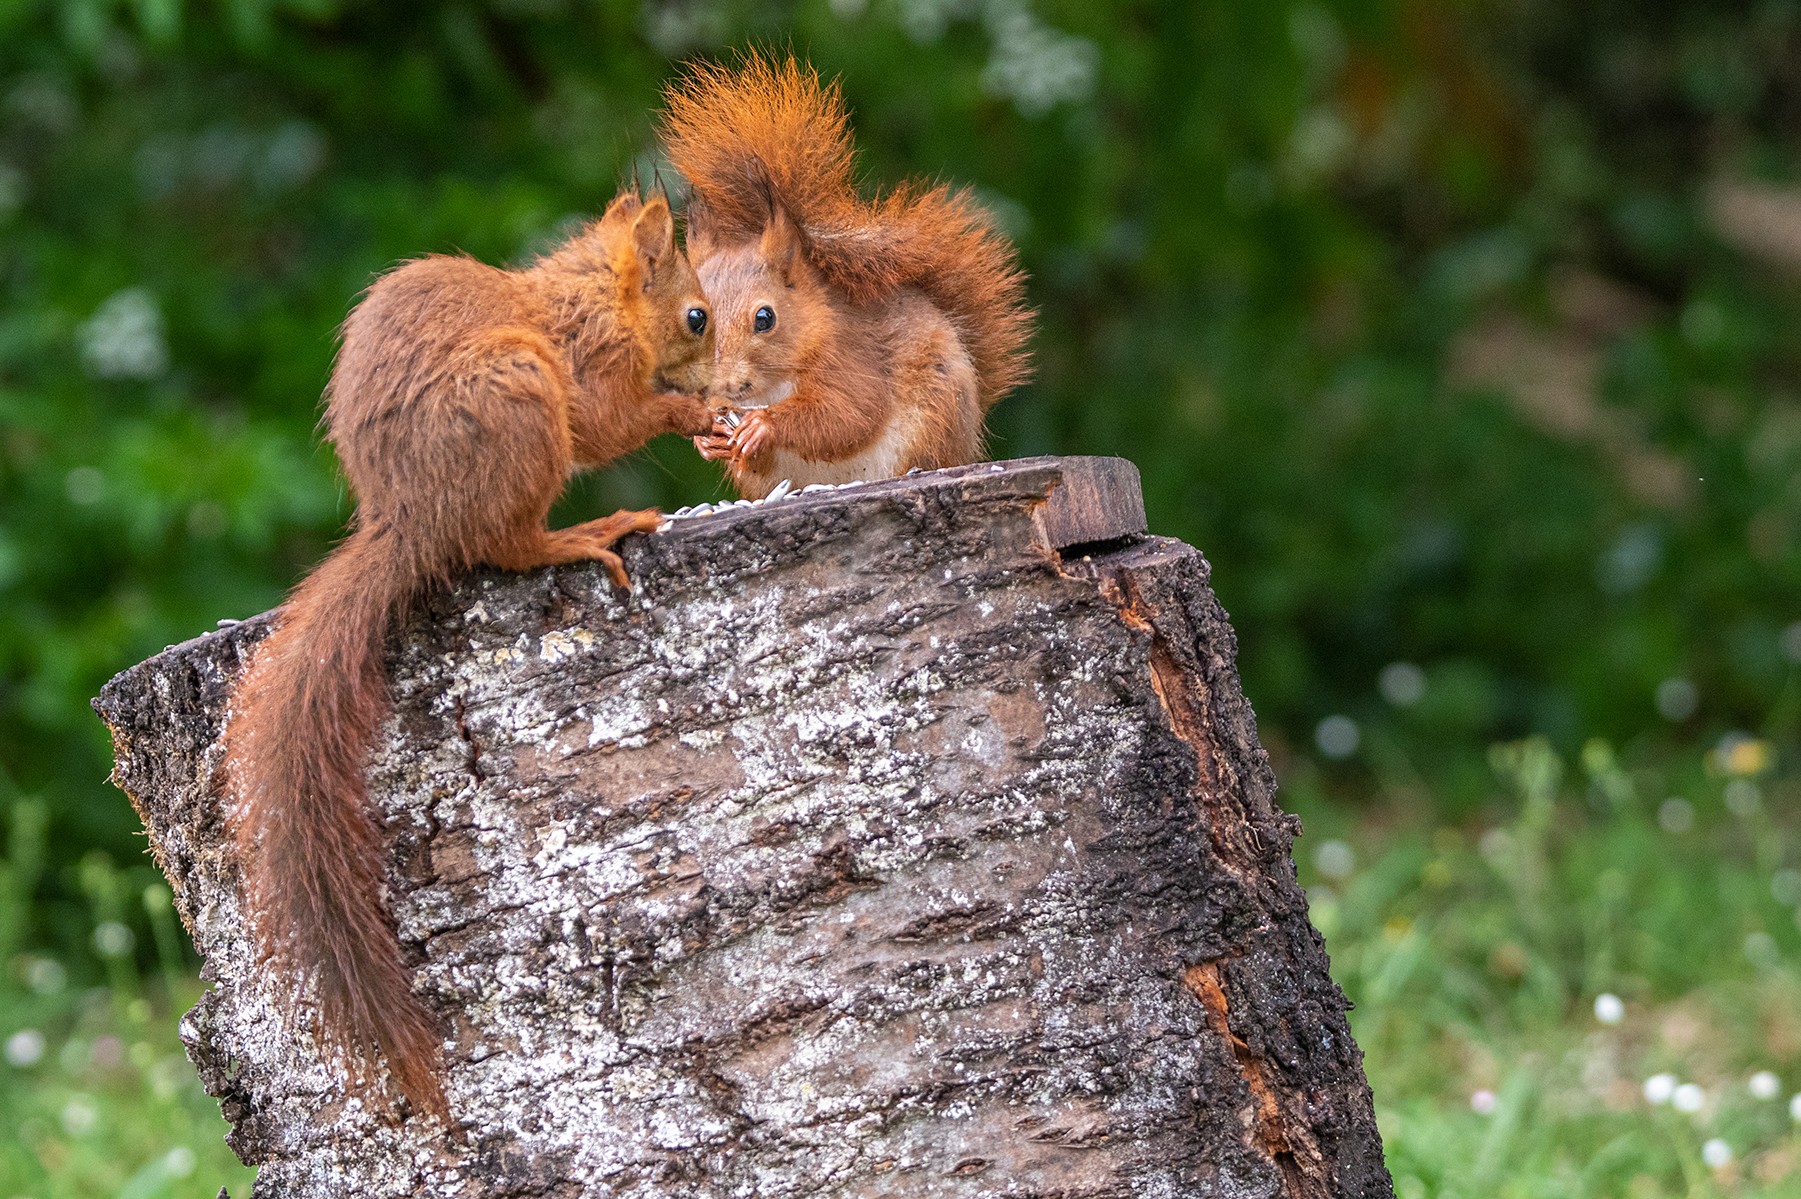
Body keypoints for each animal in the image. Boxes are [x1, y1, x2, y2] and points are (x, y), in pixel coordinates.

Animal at [216, 187, 709, 1123]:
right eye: (697, 316)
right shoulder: (586, 364)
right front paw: (687, 415)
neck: (592, 292)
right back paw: (585, 533)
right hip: (518, 400)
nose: (722, 380)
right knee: (510, 546)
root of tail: (411, 521)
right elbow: (606, 424)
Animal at [662, 52, 1037, 493]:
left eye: (765, 318)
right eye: (693, 317)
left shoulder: (852, 354)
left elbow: (847, 413)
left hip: (934, 418)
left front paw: (763, 425)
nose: (719, 386)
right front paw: (709, 438)